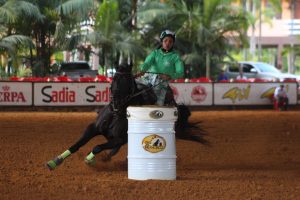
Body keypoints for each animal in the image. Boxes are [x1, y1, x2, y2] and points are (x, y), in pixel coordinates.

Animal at [46, 63, 206, 170]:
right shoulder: (93, 128)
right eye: (114, 78)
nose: (115, 99)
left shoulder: (120, 138)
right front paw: (54, 162)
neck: (117, 111)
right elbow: (76, 145)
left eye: (127, 80)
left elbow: (97, 147)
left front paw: (89, 160)